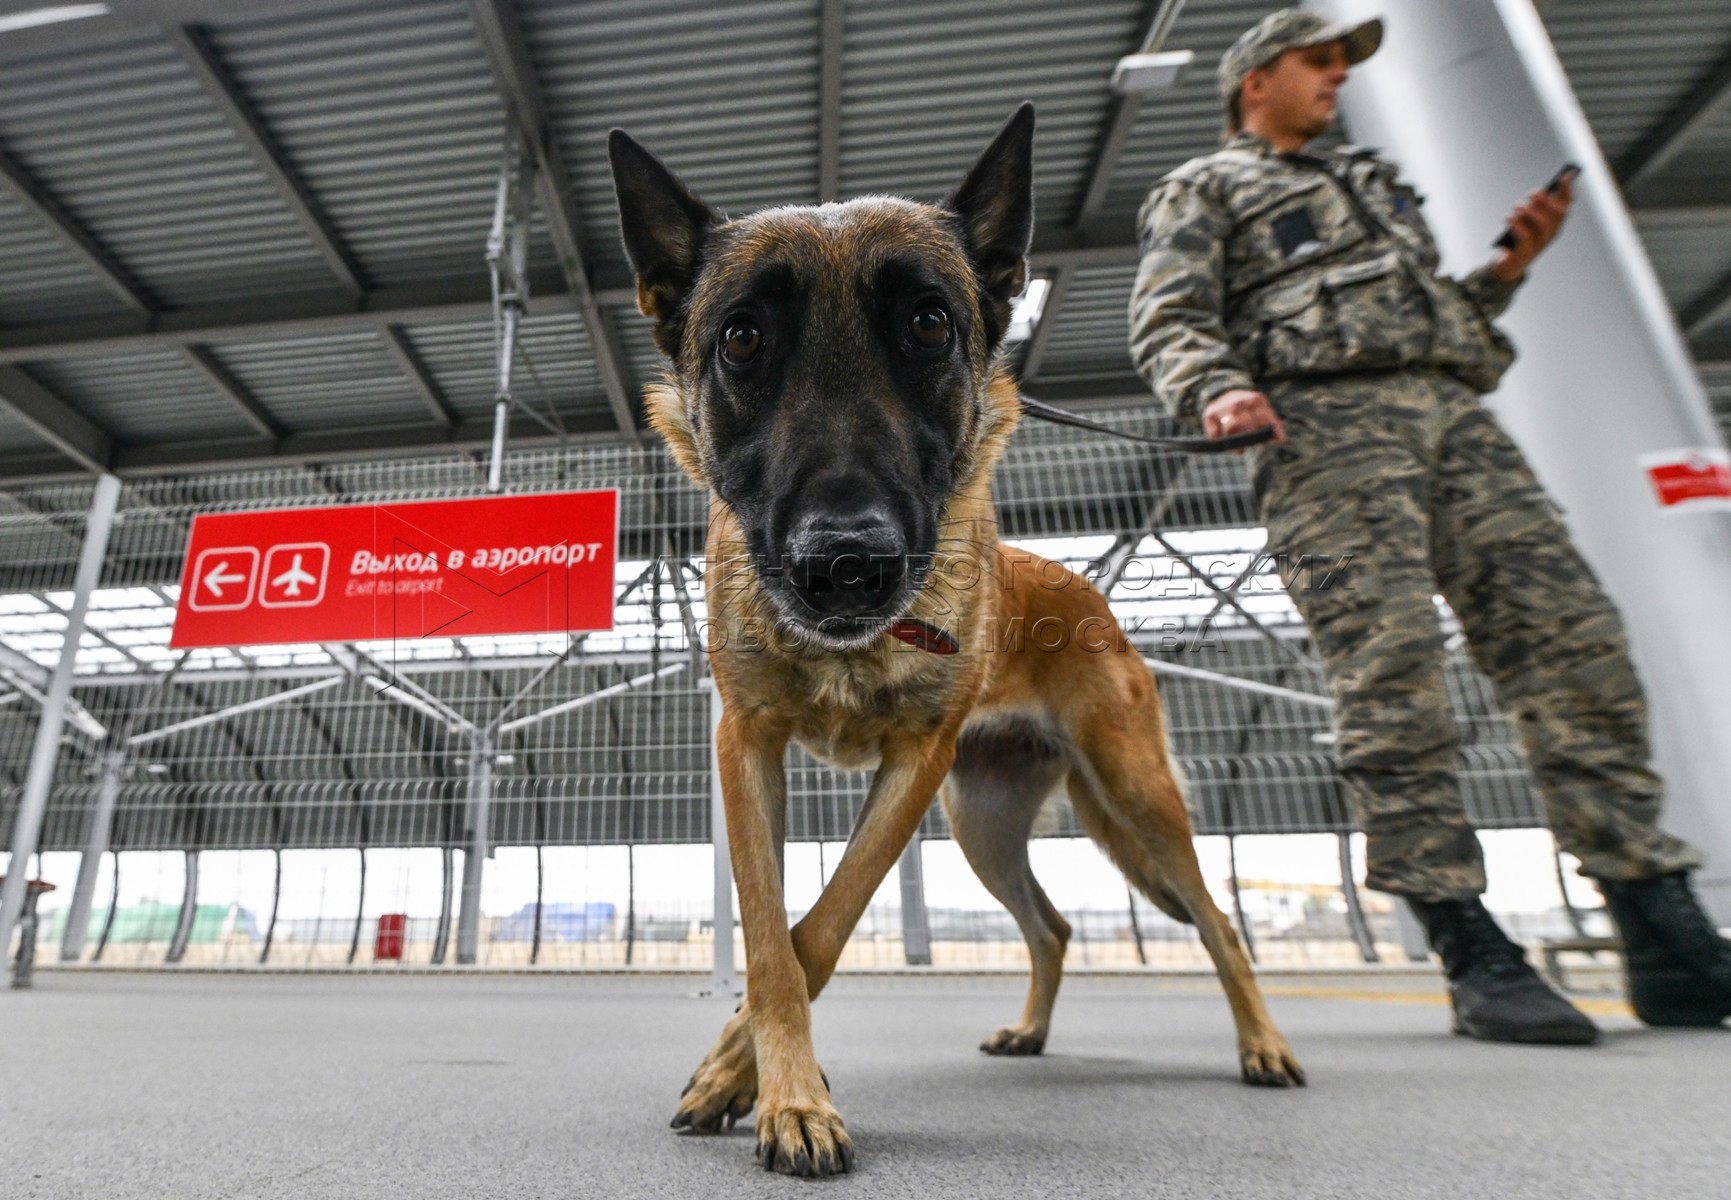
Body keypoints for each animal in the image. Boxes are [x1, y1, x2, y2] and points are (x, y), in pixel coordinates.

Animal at [609, 105, 1301, 1177]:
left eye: (930, 324)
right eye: (741, 337)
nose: (844, 562)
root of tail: (1085, 591)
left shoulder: (914, 761)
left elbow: (823, 926)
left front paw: (753, 1080)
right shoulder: (747, 744)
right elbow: (771, 939)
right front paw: (776, 1086)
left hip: (1134, 798)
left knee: (1218, 921)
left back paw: (1261, 1045)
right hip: (983, 823)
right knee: (1052, 926)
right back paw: (1032, 1032)